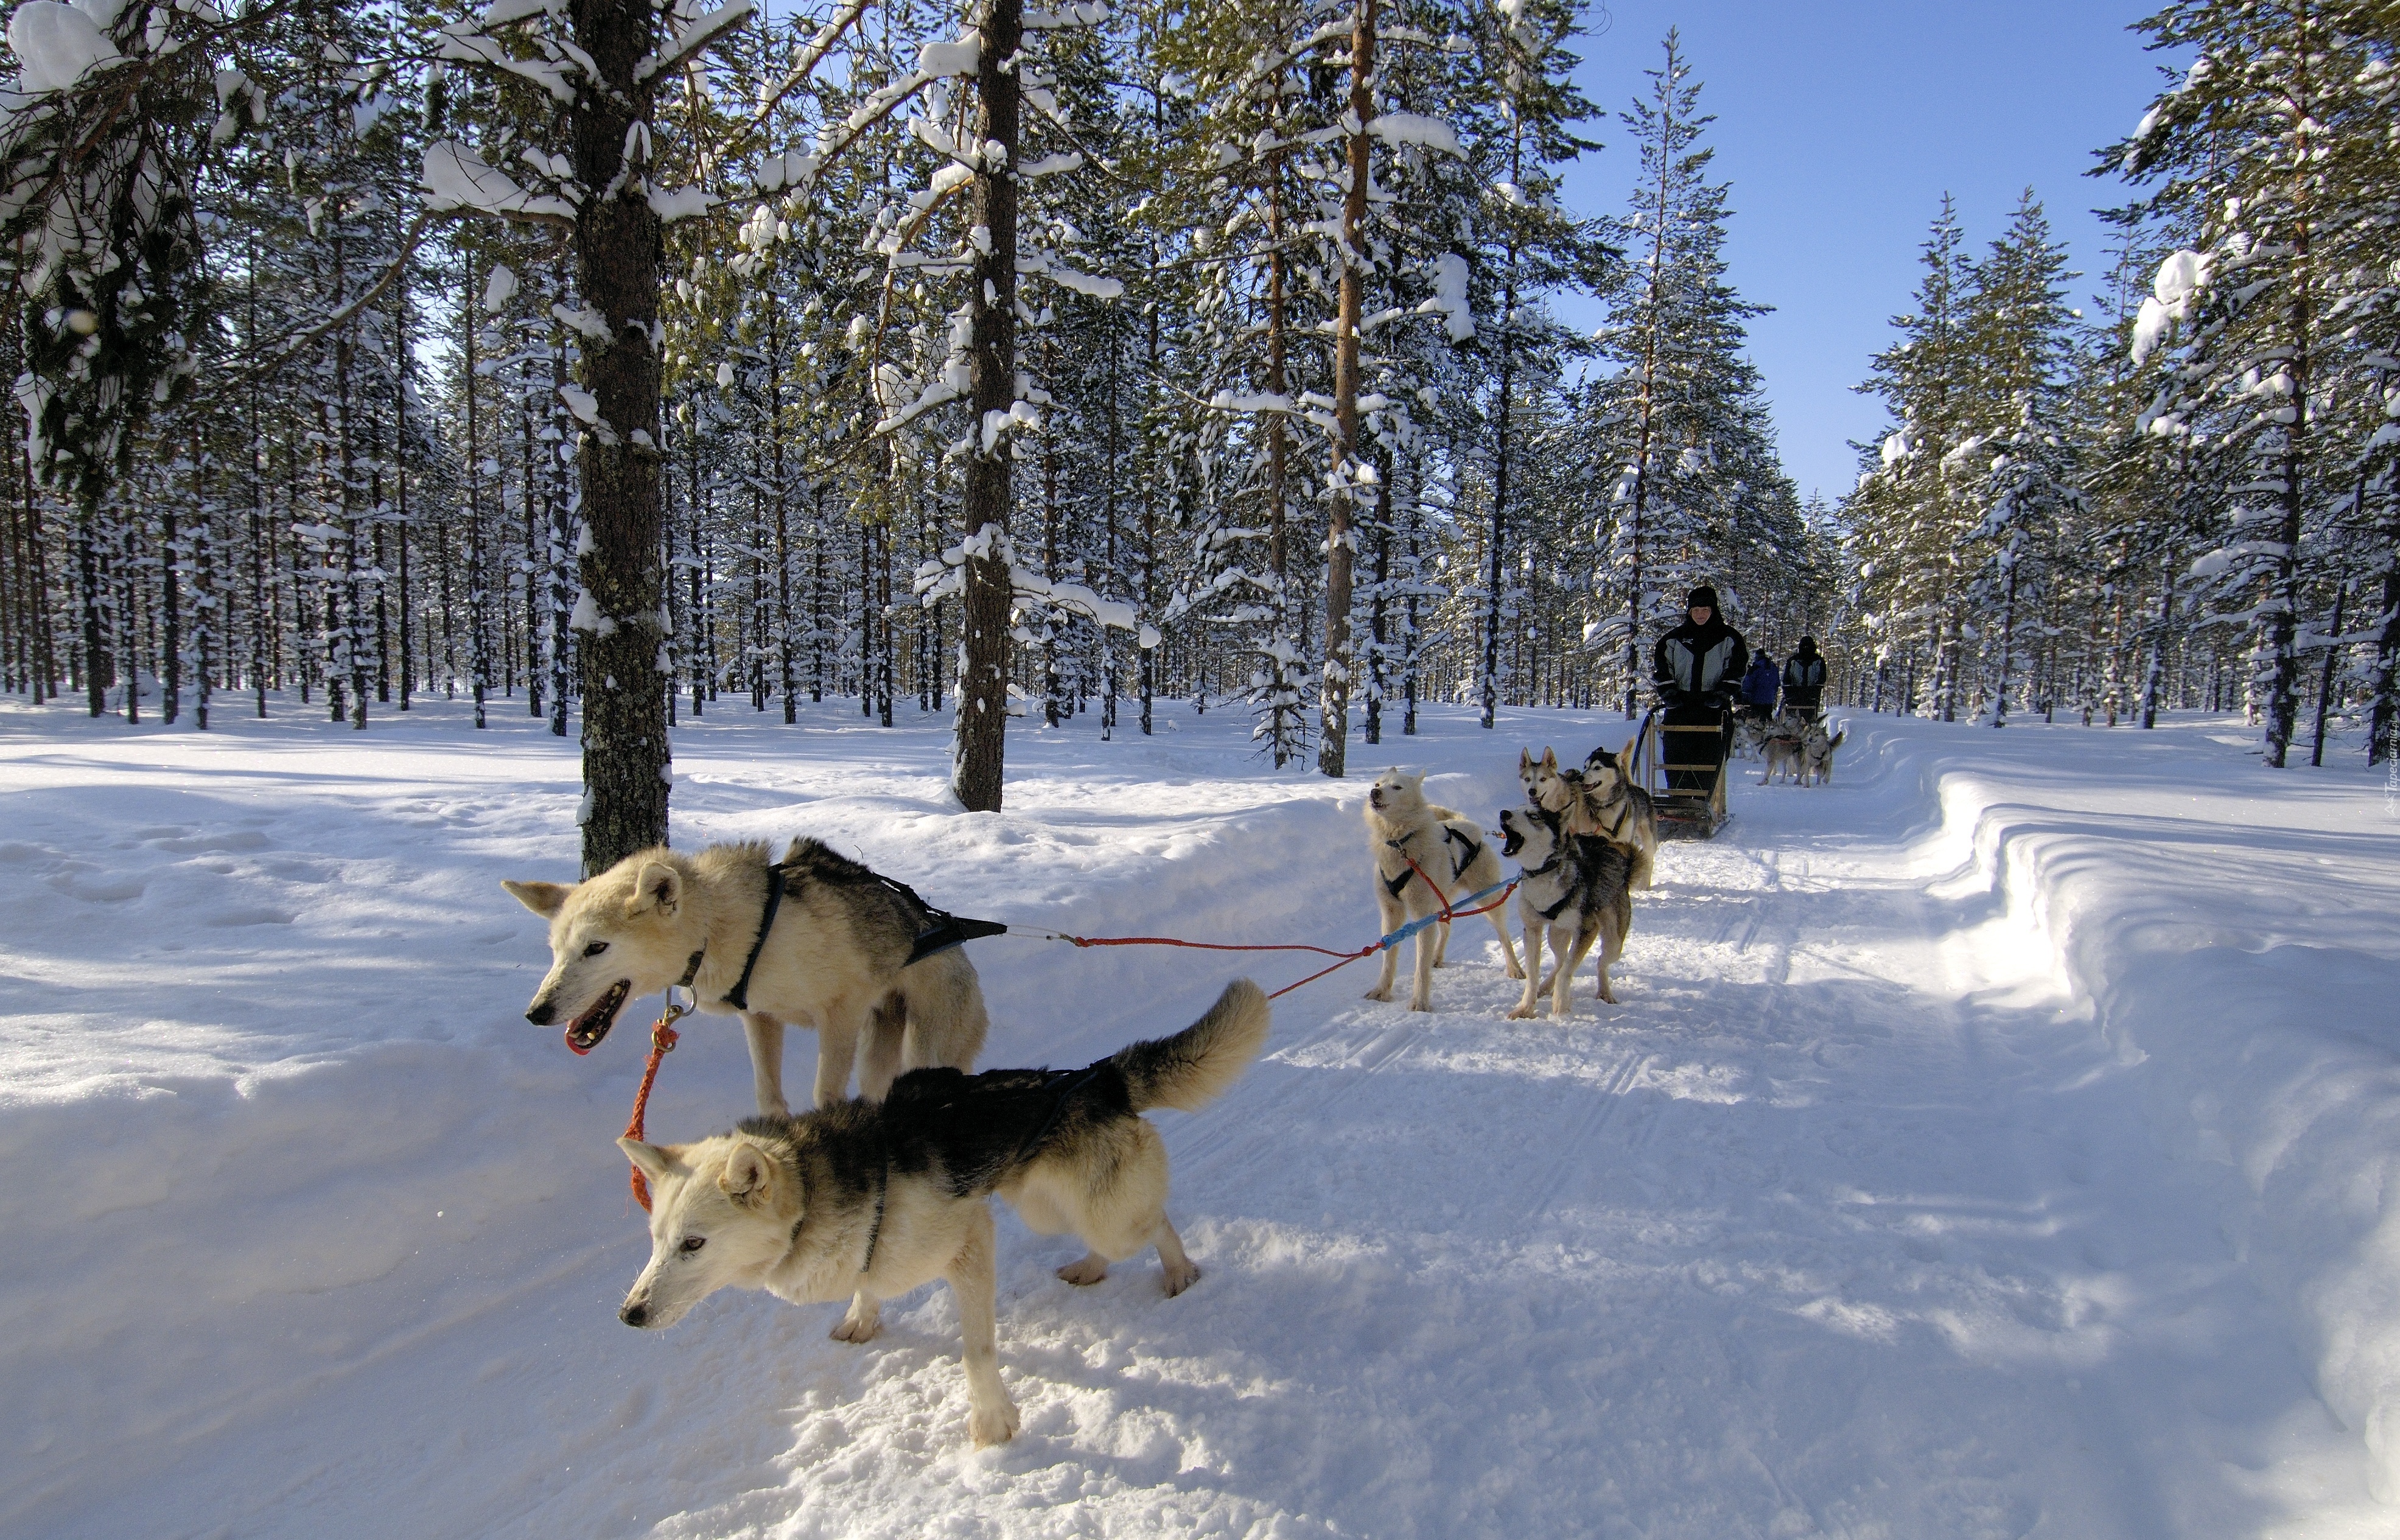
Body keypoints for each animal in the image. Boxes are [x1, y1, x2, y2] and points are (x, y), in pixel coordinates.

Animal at [502, 835, 988, 1108]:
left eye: (596, 948)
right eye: (555, 951)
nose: (535, 1013)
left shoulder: (840, 1016)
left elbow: (826, 1097)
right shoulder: (760, 1018)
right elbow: (769, 1098)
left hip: (924, 1050)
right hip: (878, 1055)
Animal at [614, 983, 1276, 1439]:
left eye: (693, 1243)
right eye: (655, 1240)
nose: (629, 1315)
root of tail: (1097, 1077)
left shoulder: (971, 1241)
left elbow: (976, 1350)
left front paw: (993, 1420)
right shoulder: (882, 1255)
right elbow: (869, 1286)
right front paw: (862, 1317)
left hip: (1105, 1216)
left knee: (1155, 1223)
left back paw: (1177, 1271)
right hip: (1044, 1207)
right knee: (1102, 1239)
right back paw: (1089, 1268)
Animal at [1373, 768, 1516, 1007]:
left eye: (1397, 787)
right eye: (1377, 784)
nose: (1374, 793)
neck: (1401, 847)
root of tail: (1469, 824)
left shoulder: (1421, 916)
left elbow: (1420, 966)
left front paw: (1420, 1002)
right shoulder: (1391, 912)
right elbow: (1389, 956)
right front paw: (1381, 991)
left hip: (1486, 899)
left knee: (1504, 935)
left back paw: (1515, 968)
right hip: (1439, 904)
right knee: (1447, 926)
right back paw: (1437, 957)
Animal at [1497, 796, 1632, 1012]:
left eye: (1534, 816)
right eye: (1516, 809)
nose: (1504, 813)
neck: (1544, 873)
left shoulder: (1587, 929)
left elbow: (1567, 971)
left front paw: (1560, 1006)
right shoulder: (1532, 930)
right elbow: (1533, 975)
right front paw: (1526, 1008)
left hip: (1613, 941)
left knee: (1600, 962)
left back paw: (1604, 993)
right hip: (1556, 935)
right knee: (1561, 959)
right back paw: (1544, 988)